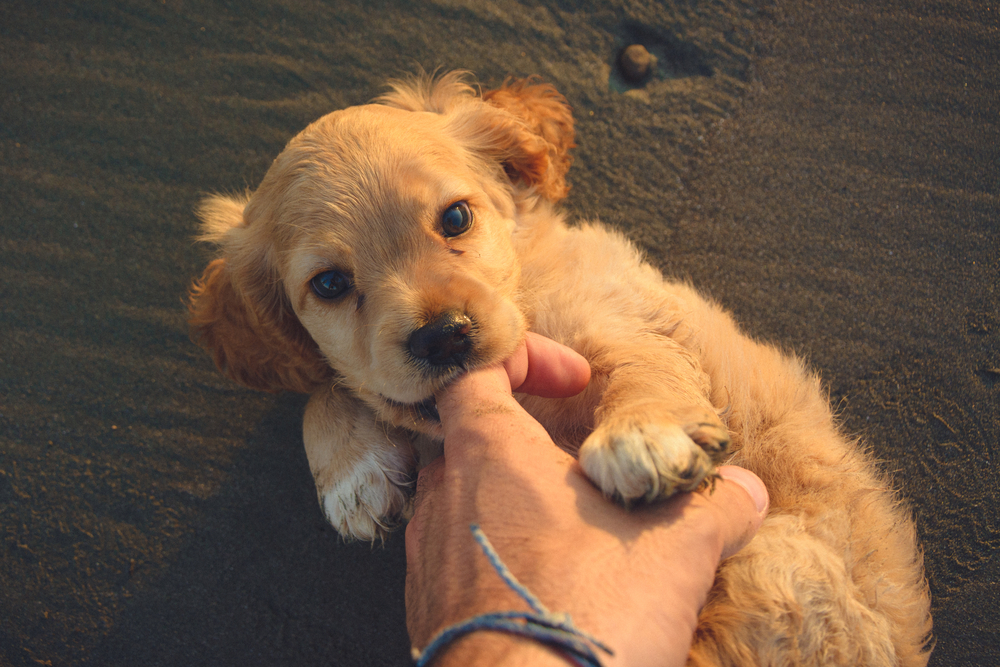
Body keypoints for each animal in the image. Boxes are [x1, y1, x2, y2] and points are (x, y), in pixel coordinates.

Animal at [188, 73, 928, 667]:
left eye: (455, 218)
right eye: (330, 284)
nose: (444, 337)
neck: (524, 284)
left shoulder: (623, 315)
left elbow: (639, 365)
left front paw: (642, 437)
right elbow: (328, 387)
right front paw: (351, 470)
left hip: (778, 561)